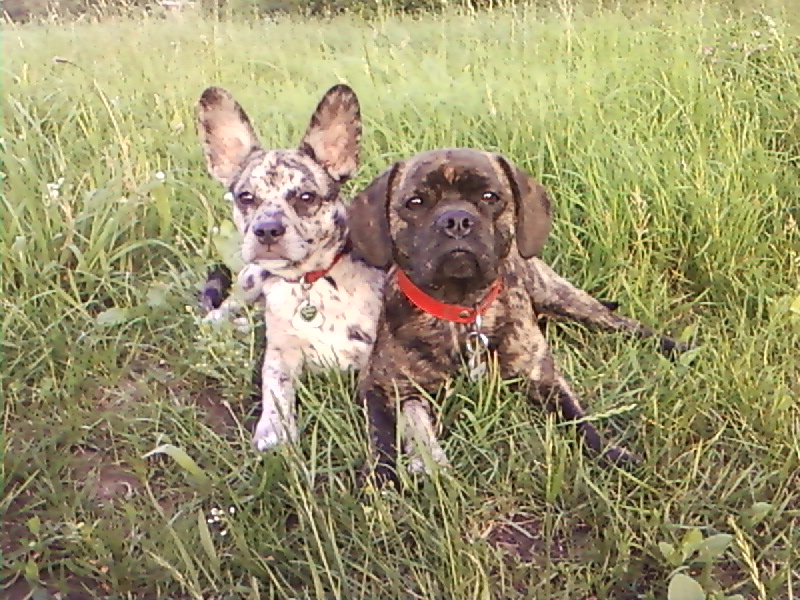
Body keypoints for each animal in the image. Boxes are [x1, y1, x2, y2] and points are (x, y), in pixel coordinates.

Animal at [348, 148, 688, 480]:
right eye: (415, 202)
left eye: (490, 197)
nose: (456, 219)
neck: (463, 311)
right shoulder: (378, 384)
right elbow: (381, 436)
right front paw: (380, 477)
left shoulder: (545, 379)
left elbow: (579, 421)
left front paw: (611, 454)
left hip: (563, 298)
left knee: (624, 324)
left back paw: (679, 347)